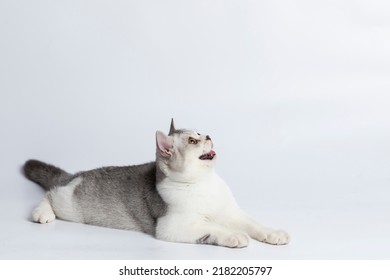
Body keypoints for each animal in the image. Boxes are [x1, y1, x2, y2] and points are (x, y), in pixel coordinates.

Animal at [22, 120, 290, 247]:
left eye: (200, 132)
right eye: (193, 141)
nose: (209, 136)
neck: (203, 184)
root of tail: (76, 175)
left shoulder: (231, 212)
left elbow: (254, 224)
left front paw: (272, 233)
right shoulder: (172, 225)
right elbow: (213, 228)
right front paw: (233, 236)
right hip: (70, 206)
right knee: (50, 194)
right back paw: (42, 213)